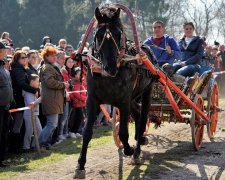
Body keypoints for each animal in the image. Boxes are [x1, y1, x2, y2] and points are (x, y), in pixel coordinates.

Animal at [74, 4, 157, 178]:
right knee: (138, 116)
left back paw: (137, 151)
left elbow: (123, 132)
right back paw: (140, 139)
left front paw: (129, 149)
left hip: (147, 90)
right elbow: (87, 132)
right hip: (133, 98)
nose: (110, 67)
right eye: (98, 35)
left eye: (118, 34)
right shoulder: (92, 100)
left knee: (143, 117)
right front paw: (80, 165)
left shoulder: (123, 100)